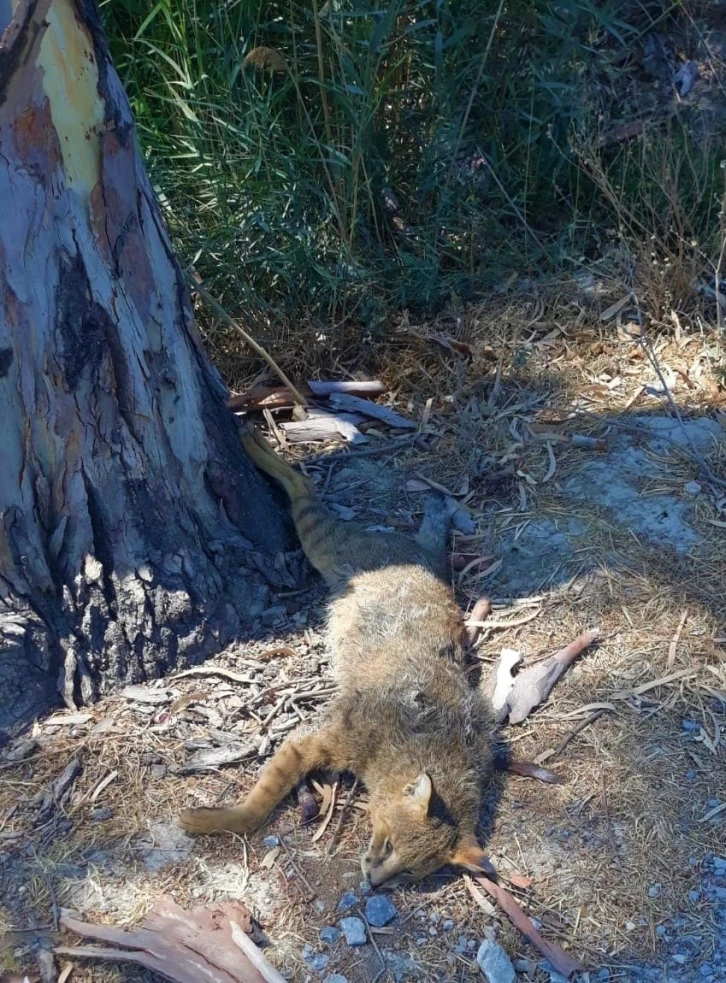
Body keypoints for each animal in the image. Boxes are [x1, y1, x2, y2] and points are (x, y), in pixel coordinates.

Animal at [179, 426, 498, 888]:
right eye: (388, 843)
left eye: (409, 873)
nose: (373, 882)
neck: (430, 748)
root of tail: (421, 554)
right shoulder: (317, 740)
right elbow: (258, 806)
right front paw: (217, 820)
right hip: (325, 542)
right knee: (304, 490)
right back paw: (256, 441)